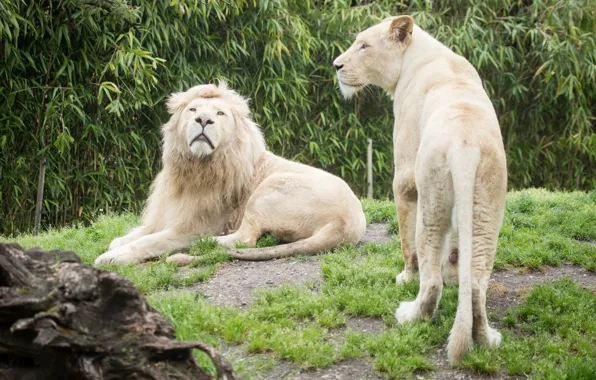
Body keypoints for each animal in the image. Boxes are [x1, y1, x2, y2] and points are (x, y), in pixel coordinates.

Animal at [93, 83, 366, 266]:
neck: (193, 168)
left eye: (220, 113)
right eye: (192, 110)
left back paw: (205, 243)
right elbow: (134, 234)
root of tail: (346, 225)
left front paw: (112, 257)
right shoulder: (165, 215)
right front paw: (117, 244)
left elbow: (147, 241)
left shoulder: (190, 226)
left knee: (244, 239)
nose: (204, 120)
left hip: (269, 187)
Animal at [332, 16, 506, 364]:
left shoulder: (405, 177)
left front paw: (405, 277)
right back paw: (487, 339)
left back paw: (410, 315)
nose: (336, 65)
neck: (417, 58)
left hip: (432, 198)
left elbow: (405, 241)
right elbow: (456, 251)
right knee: (477, 283)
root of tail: (465, 143)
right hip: (487, 209)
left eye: (364, 45)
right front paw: (454, 272)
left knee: (430, 279)